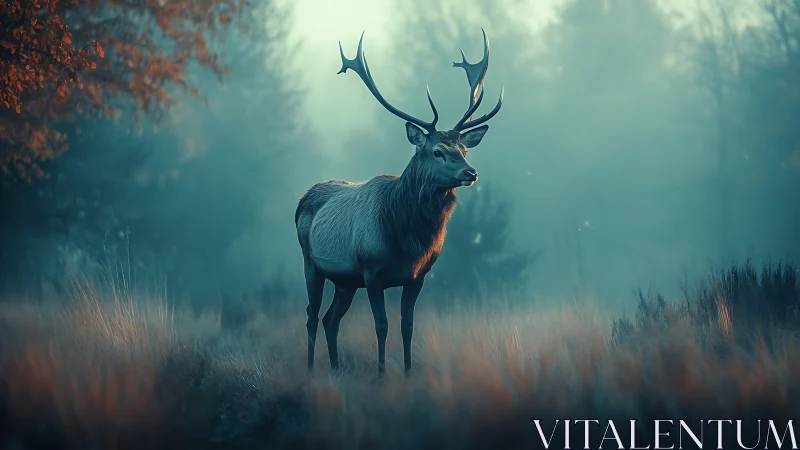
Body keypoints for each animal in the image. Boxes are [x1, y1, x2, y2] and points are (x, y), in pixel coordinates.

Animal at [295, 28, 503, 376]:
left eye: (463, 149)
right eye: (437, 151)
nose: (470, 172)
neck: (407, 237)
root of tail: (302, 198)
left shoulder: (418, 276)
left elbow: (408, 327)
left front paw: (407, 373)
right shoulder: (371, 270)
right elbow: (382, 326)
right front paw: (381, 376)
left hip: (345, 280)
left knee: (330, 319)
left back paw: (336, 368)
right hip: (311, 263)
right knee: (312, 316)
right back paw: (310, 370)